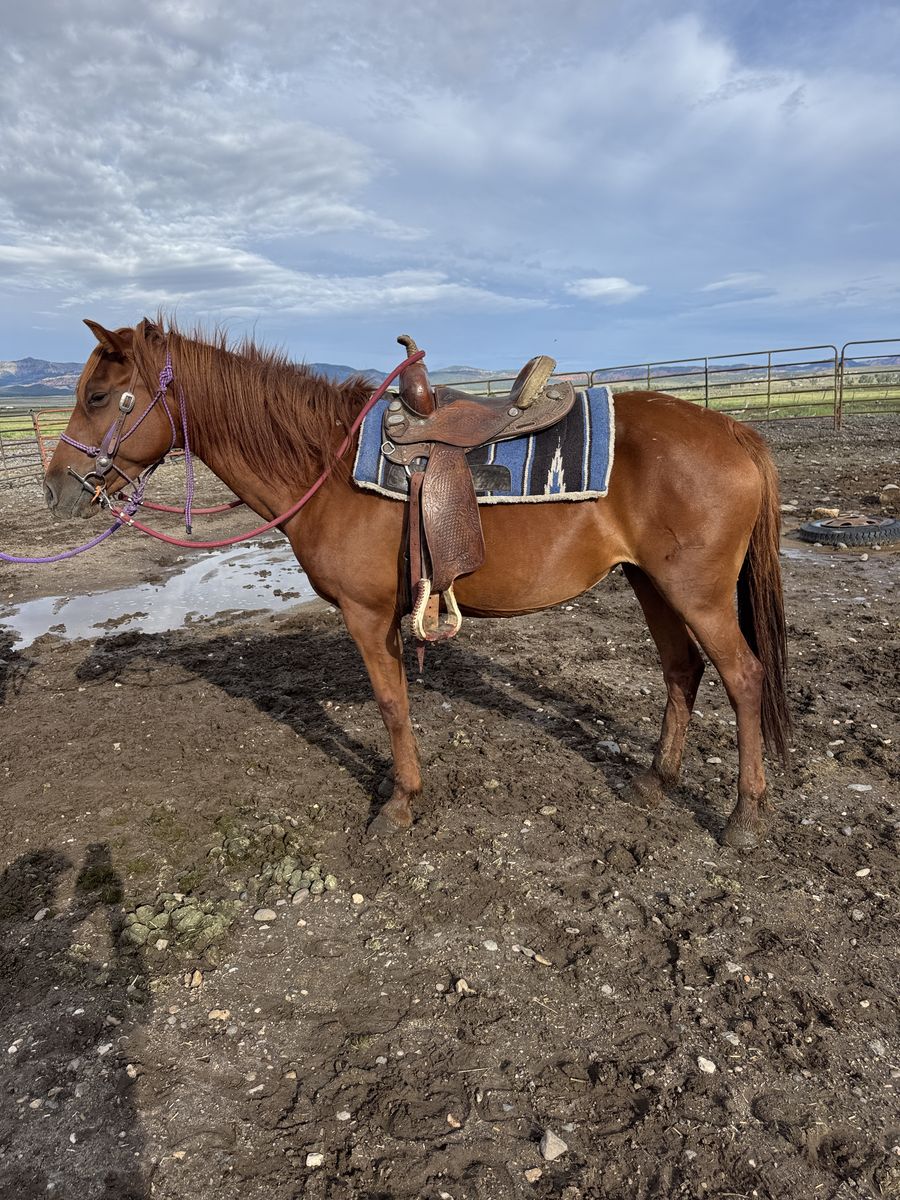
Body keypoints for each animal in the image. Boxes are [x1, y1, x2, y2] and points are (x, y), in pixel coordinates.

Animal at [44, 317, 790, 848]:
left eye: (99, 397)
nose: (54, 488)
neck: (324, 462)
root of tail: (734, 432)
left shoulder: (366, 614)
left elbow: (391, 704)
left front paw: (399, 804)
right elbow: (398, 700)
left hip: (695, 593)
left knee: (743, 677)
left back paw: (745, 816)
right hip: (650, 584)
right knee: (681, 671)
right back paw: (657, 781)